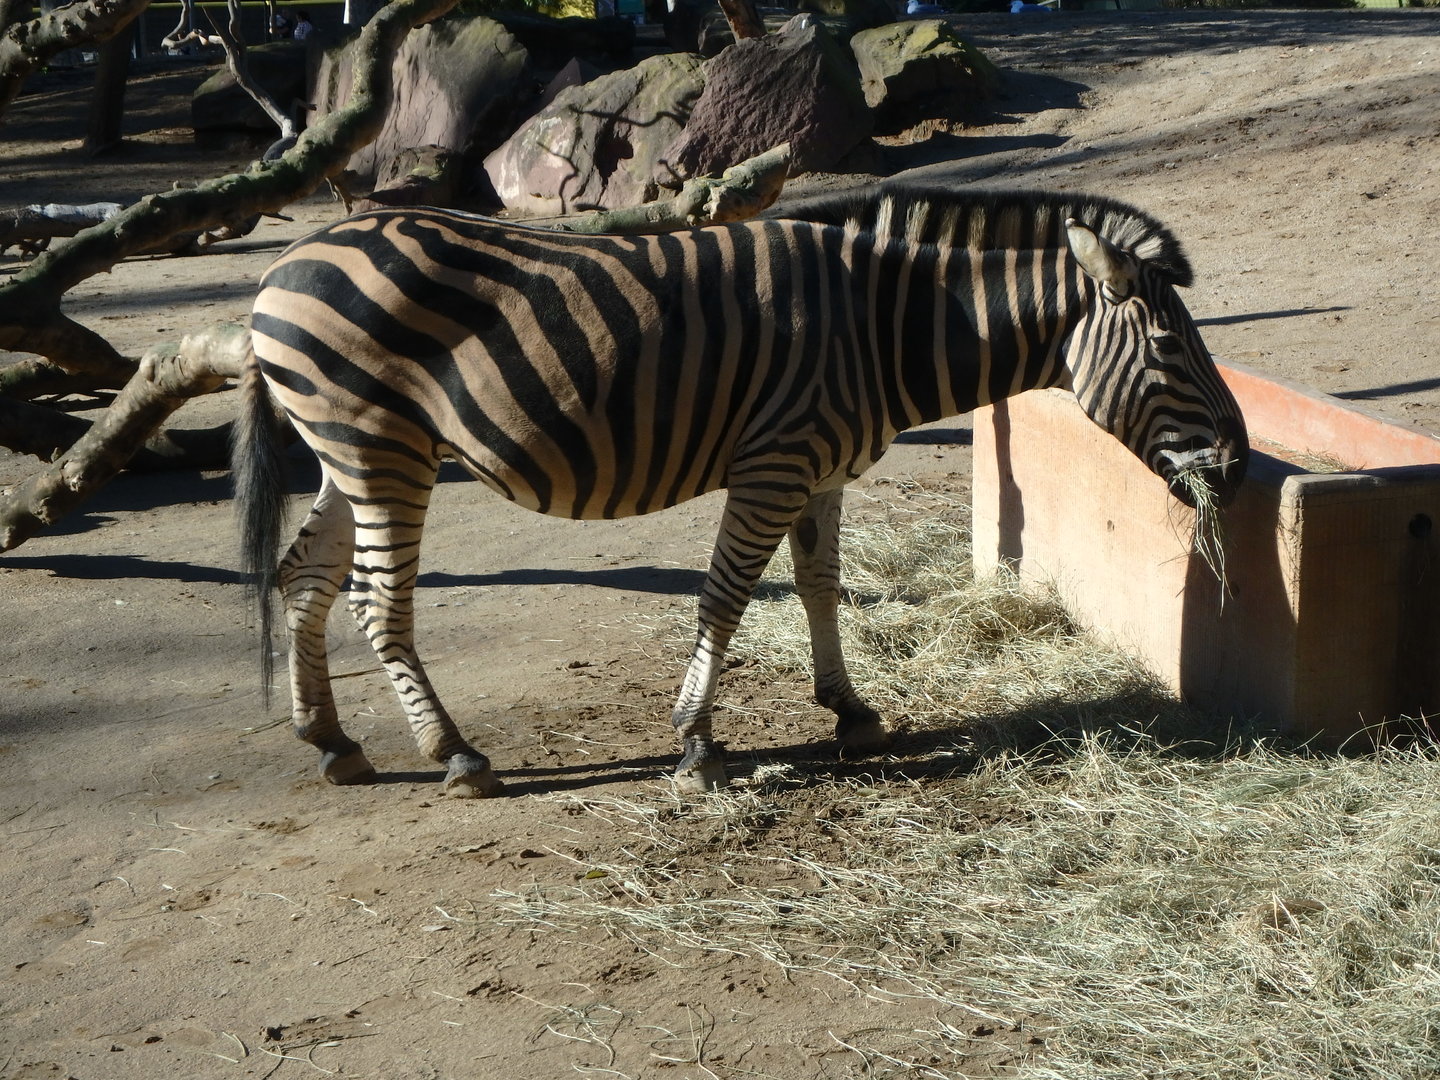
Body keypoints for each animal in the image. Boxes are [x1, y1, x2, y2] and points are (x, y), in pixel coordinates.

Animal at [234, 185, 1248, 797]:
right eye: (1169, 348)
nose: (1238, 469)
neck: (882, 329)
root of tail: (283, 265)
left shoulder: (821, 470)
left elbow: (819, 587)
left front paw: (852, 712)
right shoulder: (774, 463)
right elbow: (725, 598)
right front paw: (696, 742)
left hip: (347, 453)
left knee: (303, 577)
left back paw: (331, 741)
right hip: (380, 448)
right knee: (375, 602)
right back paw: (455, 754)